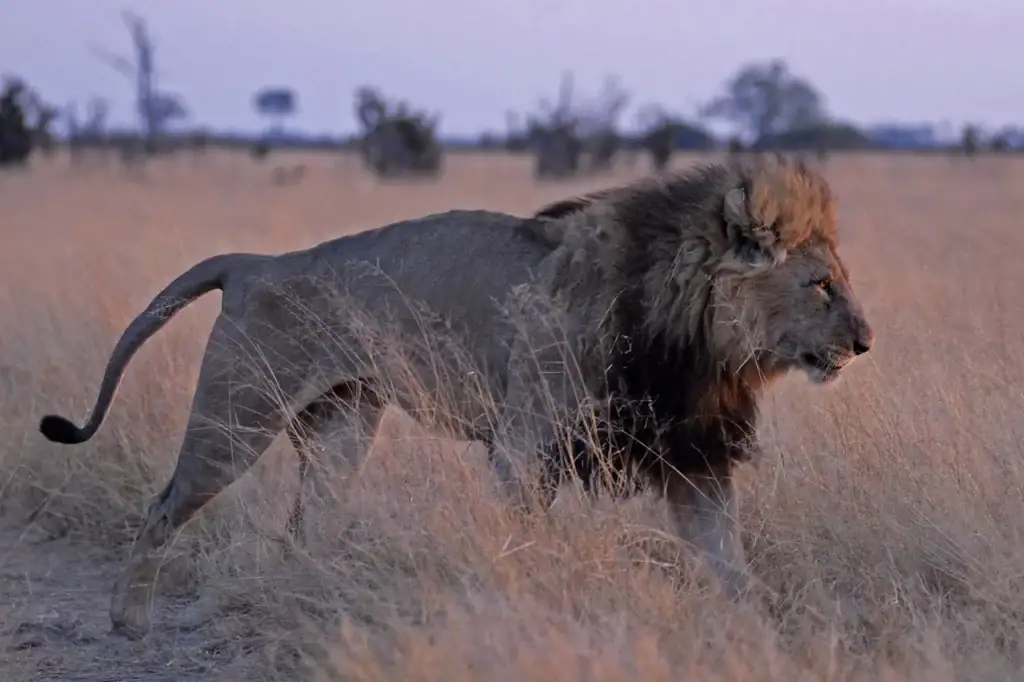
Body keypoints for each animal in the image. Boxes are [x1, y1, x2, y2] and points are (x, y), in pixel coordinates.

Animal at [38, 157, 873, 639]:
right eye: (820, 285)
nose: (867, 343)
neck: (693, 339)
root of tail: (256, 262)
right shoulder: (528, 443)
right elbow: (521, 541)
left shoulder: (690, 452)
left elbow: (729, 561)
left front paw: (764, 634)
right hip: (238, 417)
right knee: (163, 505)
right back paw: (128, 621)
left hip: (342, 424)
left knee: (304, 527)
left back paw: (310, 600)